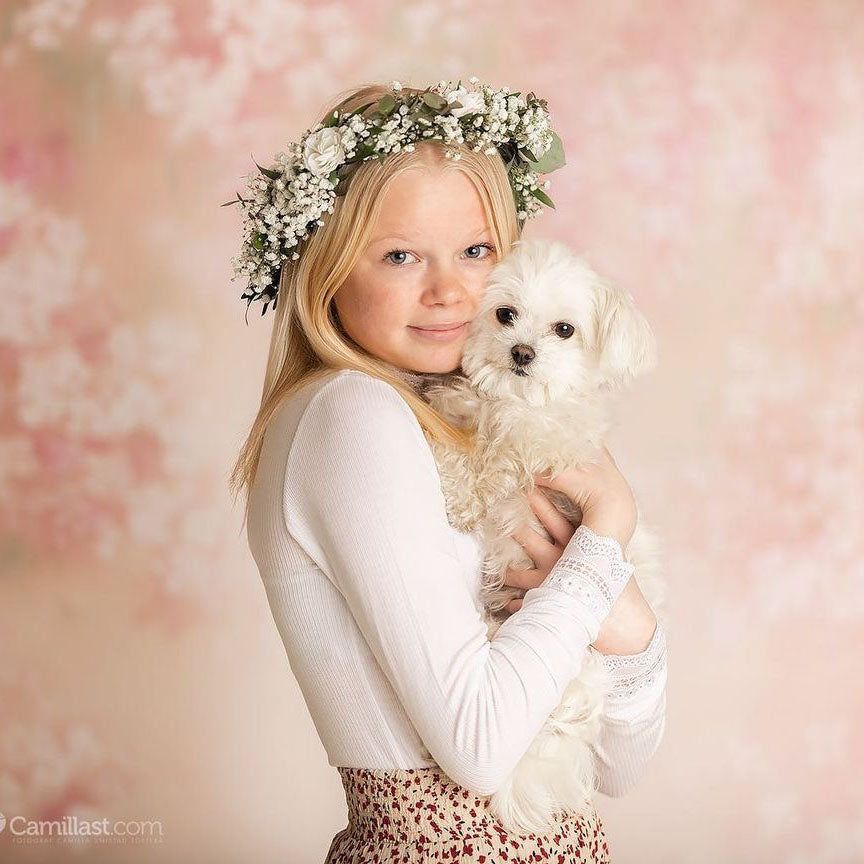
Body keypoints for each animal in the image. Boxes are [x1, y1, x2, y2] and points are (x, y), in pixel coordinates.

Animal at [418, 238, 668, 836]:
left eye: (565, 330)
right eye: (505, 314)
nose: (522, 353)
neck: (519, 398)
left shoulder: (552, 445)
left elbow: (501, 456)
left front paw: (466, 490)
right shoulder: (478, 408)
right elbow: (464, 421)